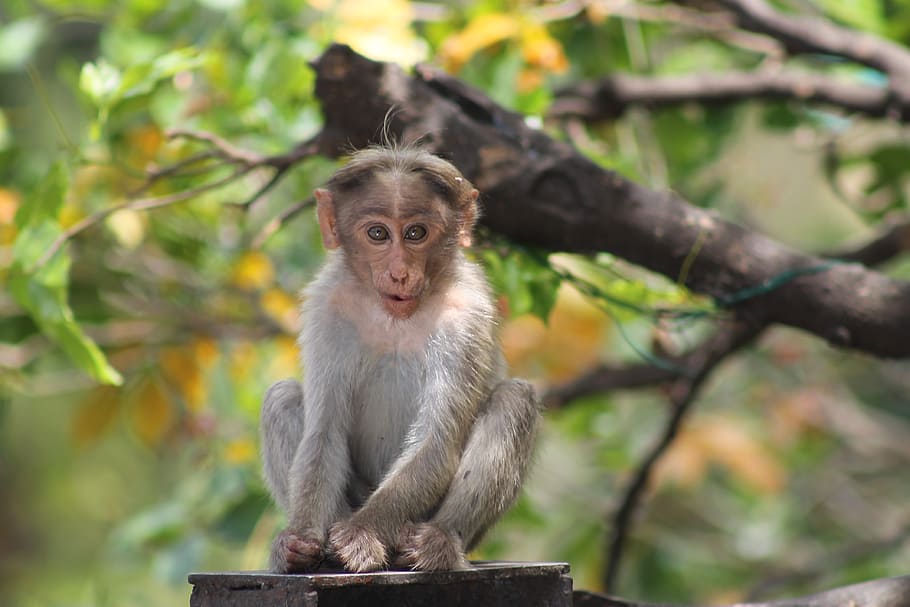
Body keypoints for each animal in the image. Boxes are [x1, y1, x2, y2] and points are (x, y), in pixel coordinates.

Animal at [259, 145, 540, 574]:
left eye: (415, 233)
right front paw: (299, 541)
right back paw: (319, 551)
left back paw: (434, 543)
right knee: (282, 397)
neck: (395, 316)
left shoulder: (467, 314)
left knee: (514, 399)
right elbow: (323, 433)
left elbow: (435, 444)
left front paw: (360, 534)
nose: (400, 273)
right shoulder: (328, 306)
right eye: (378, 233)